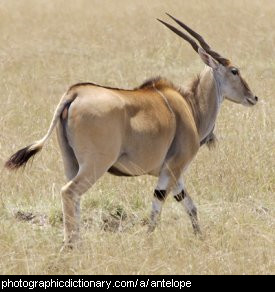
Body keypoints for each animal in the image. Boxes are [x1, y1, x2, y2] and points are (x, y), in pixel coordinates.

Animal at [4, 13, 258, 246]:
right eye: (234, 71)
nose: (253, 97)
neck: (189, 105)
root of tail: (75, 92)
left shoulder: (175, 175)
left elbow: (189, 205)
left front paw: (200, 237)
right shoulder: (173, 168)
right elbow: (158, 205)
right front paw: (148, 240)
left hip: (71, 163)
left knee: (73, 198)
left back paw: (77, 243)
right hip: (95, 165)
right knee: (69, 192)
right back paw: (71, 246)